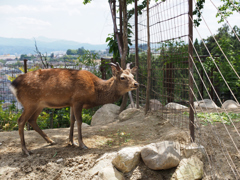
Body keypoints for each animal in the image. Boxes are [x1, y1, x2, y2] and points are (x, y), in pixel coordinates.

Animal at [9, 62, 139, 155]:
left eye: (133, 76)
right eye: (122, 77)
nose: (136, 84)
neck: (94, 91)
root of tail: (12, 85)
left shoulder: (71, 103)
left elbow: (72, 120)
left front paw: (71, 141)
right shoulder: (78, 100)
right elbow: (79, 121)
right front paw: (82, 144)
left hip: (39, 105)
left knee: (32, 120)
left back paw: (51, 141)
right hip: (30, 102)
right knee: (21, 120)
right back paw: (25, 150)